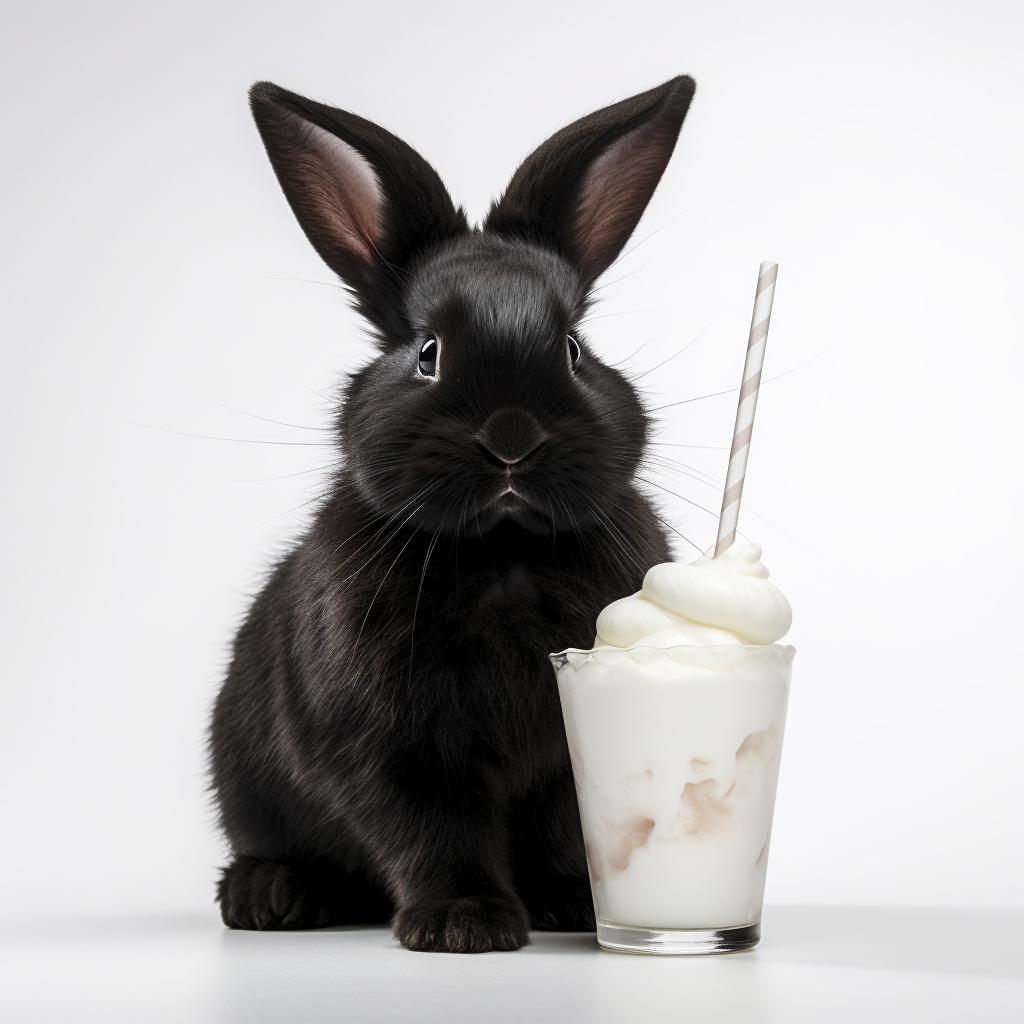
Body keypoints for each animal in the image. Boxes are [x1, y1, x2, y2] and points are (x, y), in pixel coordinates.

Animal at [212, 74, 700, 950]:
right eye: (427, 353)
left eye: (574, 348)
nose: (511, 436)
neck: (503, 555)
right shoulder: (387, 748)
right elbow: (432, 829)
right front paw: (463, 923)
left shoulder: (564, 752)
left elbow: (560, 825)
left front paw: (572, 905)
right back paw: (270, 897)